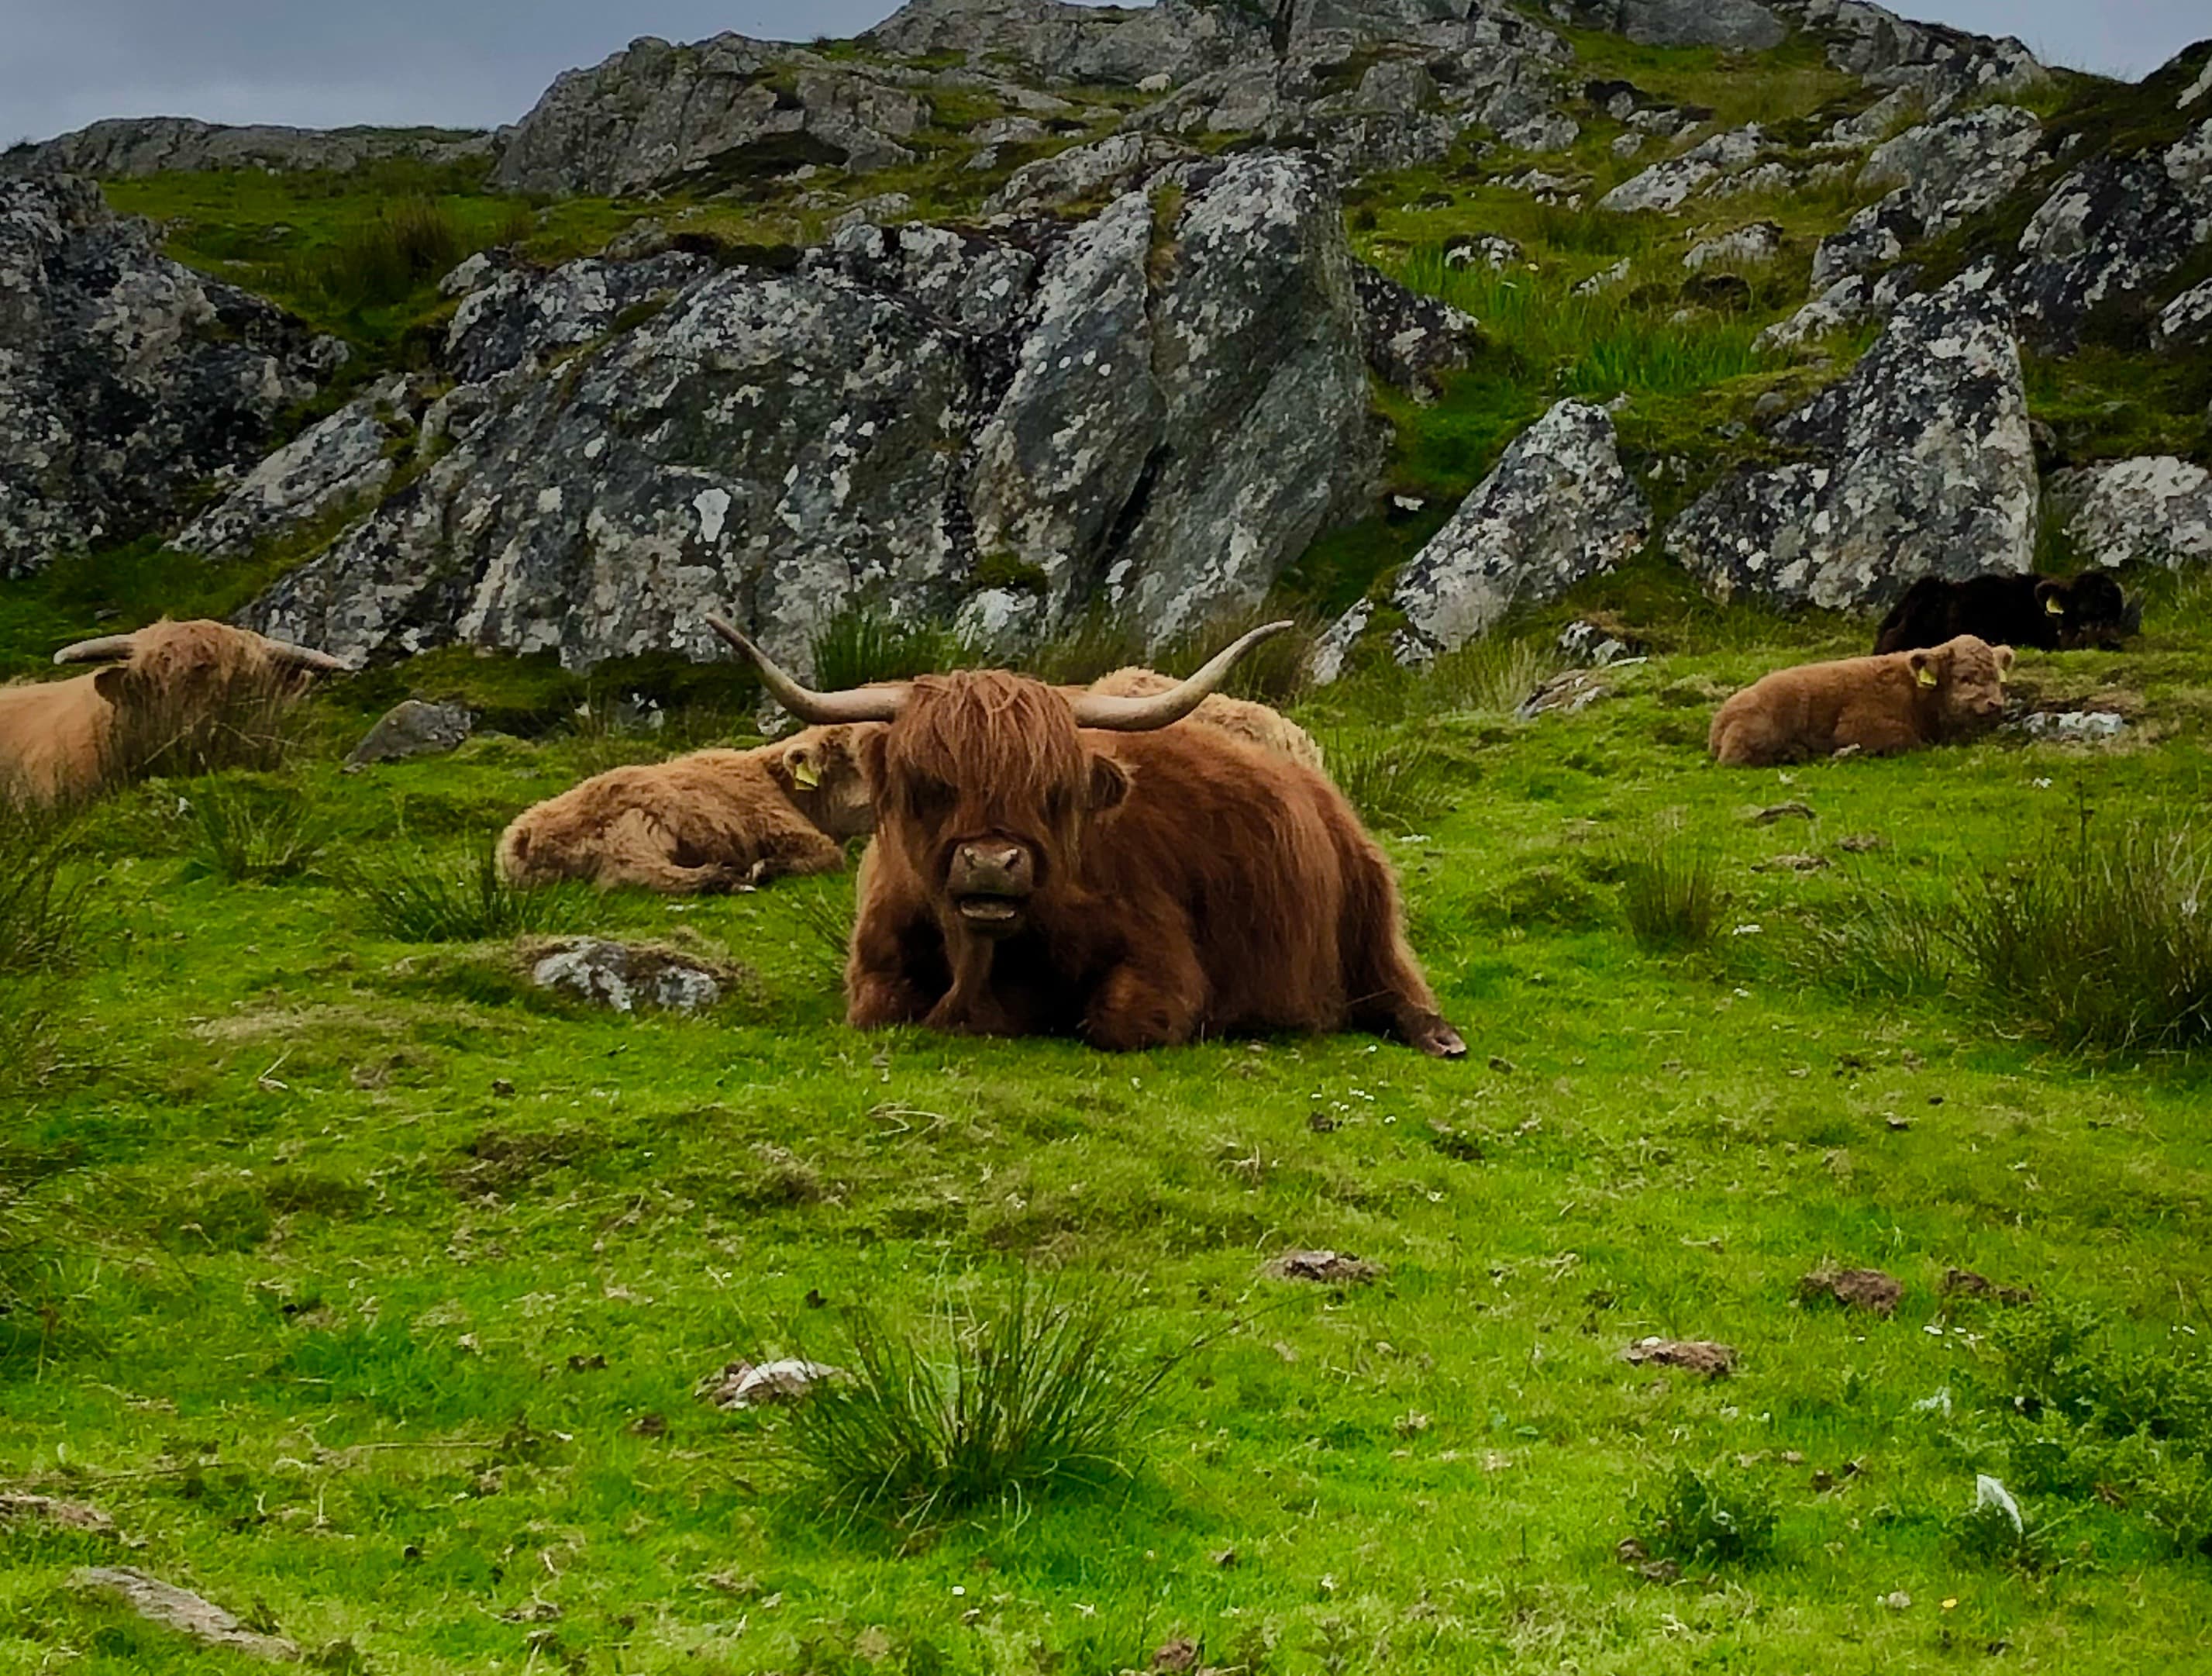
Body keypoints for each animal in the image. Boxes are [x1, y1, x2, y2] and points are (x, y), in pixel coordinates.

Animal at [495, 725, 879, 893]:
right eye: (857, 756)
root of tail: (523, 836)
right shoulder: (786, 831)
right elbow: (830, 857)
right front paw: (764, 869)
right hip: (635, 828)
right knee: (630, 874)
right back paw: (722, 879)